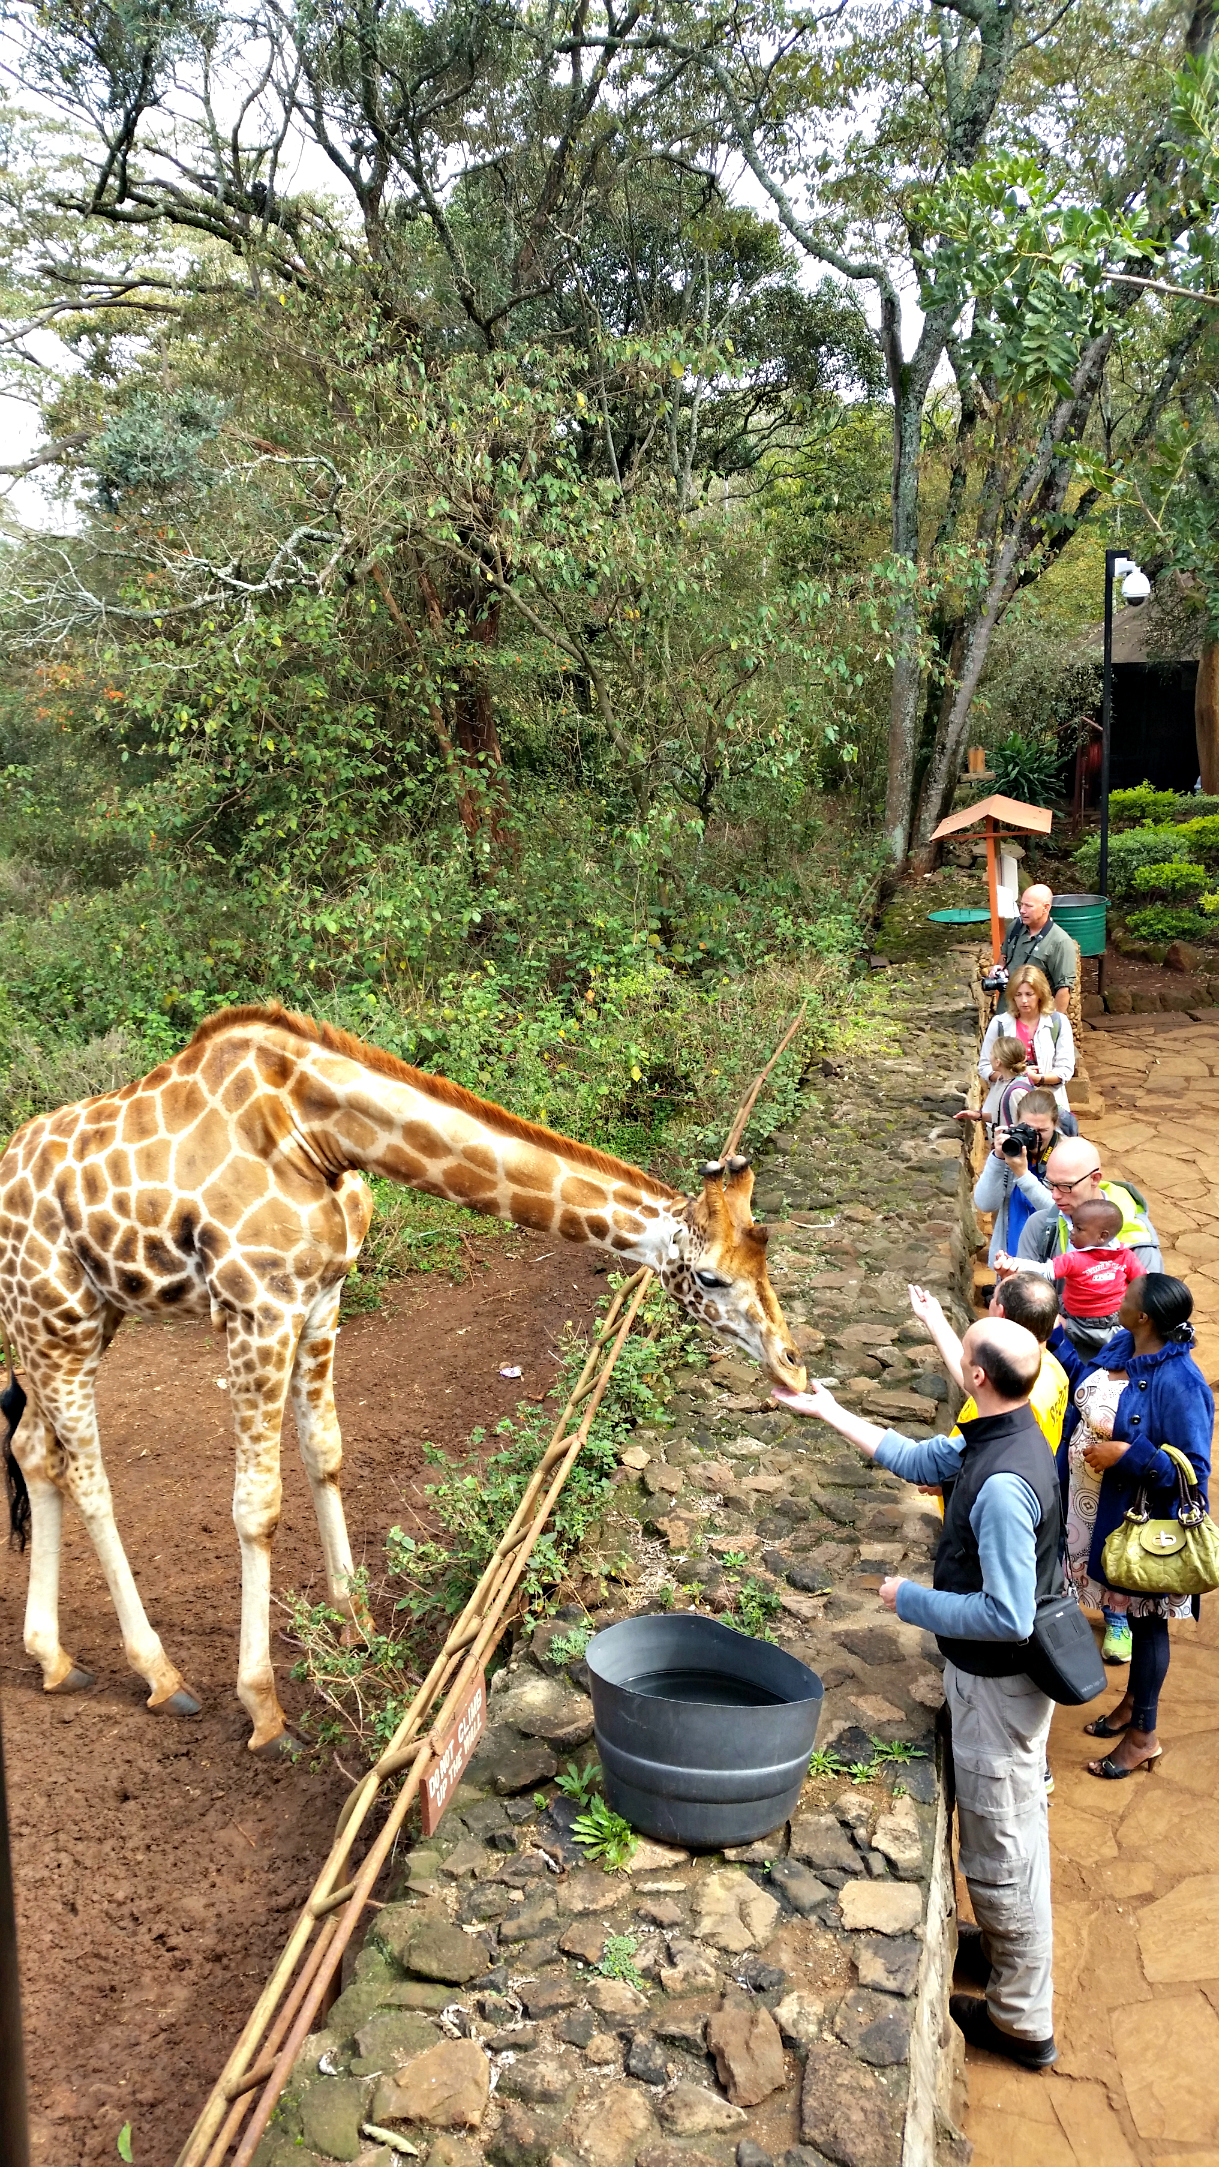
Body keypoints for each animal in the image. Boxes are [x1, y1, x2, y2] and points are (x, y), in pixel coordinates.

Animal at [0, 1003, 806, 1752]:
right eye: (711, 1277)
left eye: (765, 1252)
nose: (793, 1366)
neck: (313, 1132)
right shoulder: (256, 1308)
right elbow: (256, 1506)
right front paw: (265, 1709)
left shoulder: (320, 1298)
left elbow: (326, 1453)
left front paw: (355, 1625)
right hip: (55, 1315)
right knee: (88, 1475)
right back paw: (161, 1676)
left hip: (81, 1316)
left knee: (33, 1449)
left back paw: (54, 1658)